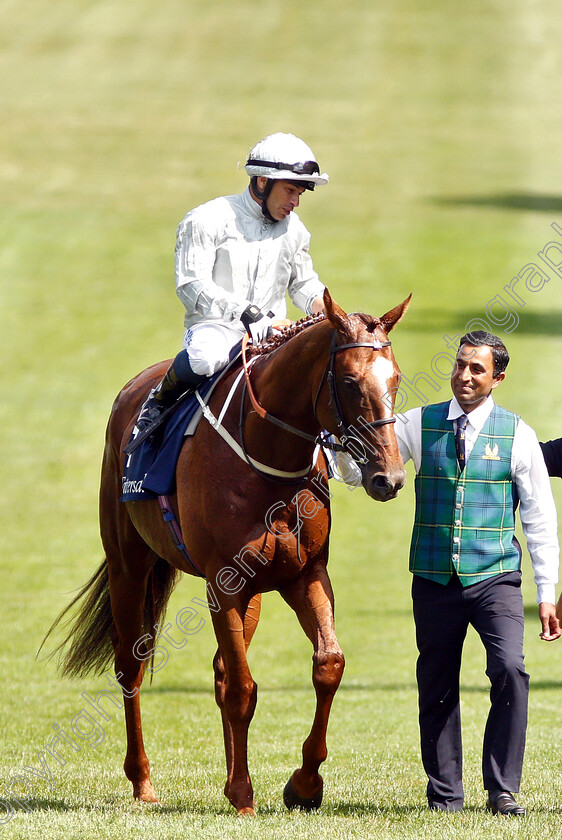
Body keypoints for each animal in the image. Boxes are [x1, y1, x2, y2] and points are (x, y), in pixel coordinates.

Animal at [44, 288, 406, 812]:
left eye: (395, 379)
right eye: (351, 381)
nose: (389, 478)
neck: (269, 456)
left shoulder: (305, 574)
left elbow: (327, 665)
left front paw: (304, 783)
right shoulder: (224, 583)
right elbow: (241, 689)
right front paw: (243, 794)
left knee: (218, 670)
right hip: (127, 565)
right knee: (131, 665)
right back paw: (143, 781)